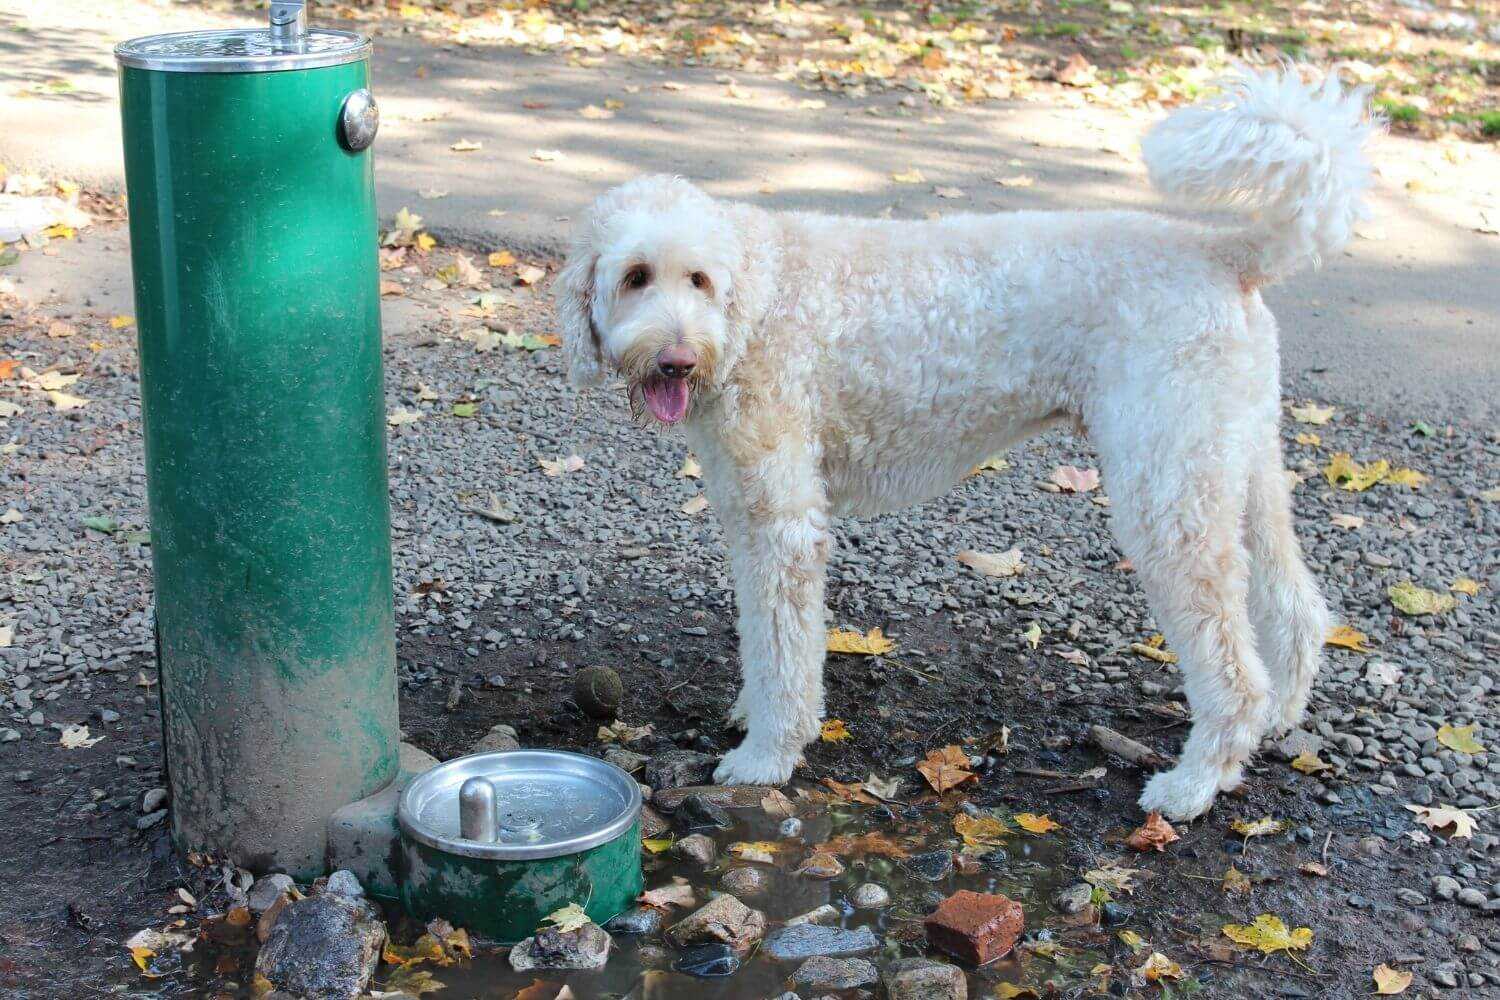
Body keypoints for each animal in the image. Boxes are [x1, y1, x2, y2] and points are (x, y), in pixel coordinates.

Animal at [558, 68, 1374, 821]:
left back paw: (1196, 783)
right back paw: (1277, 722)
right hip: (1234, 468)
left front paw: (766, 754)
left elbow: (784, 649)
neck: (755, 299)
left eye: (696, 278)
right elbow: (767, 638)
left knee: (1233, 670)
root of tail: (1227, 250)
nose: (676, 361)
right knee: (1296, 610)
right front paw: (751, 713)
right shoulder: (747, 508)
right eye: (635, 276)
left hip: (1169, 495)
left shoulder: (783, 524)